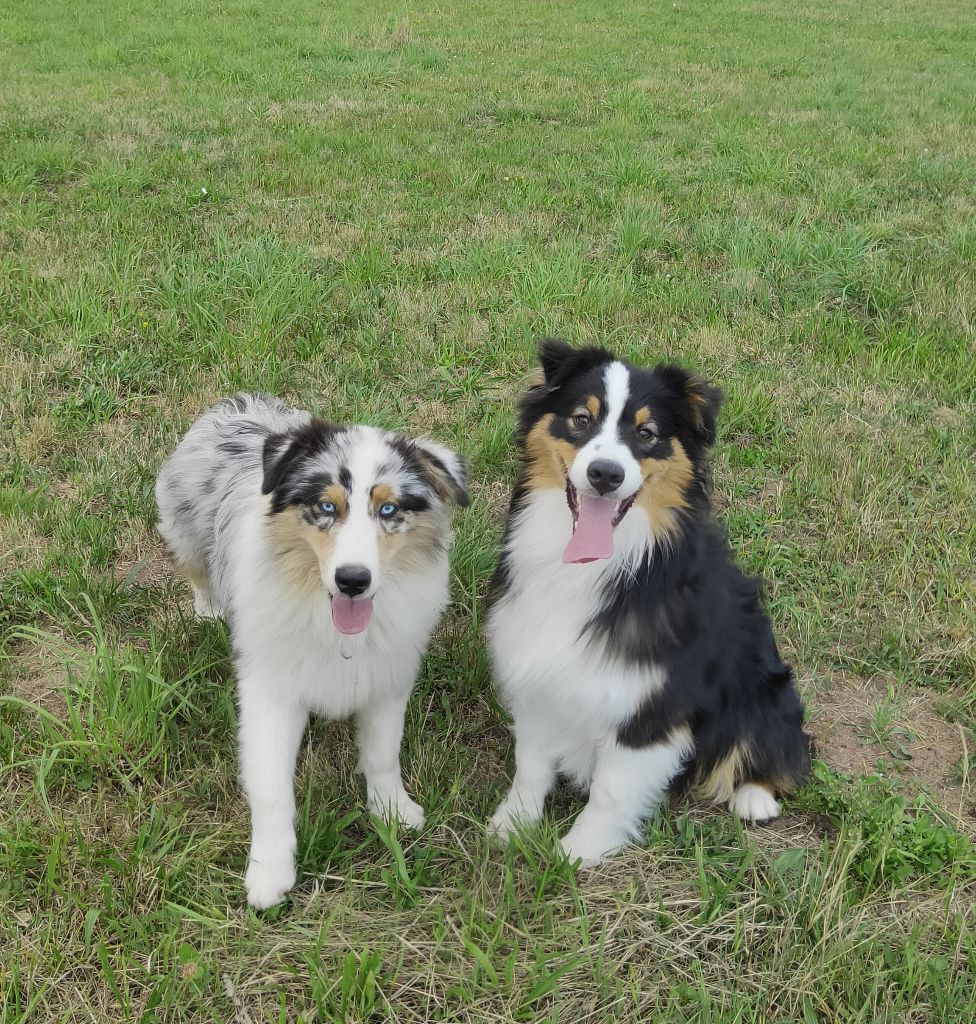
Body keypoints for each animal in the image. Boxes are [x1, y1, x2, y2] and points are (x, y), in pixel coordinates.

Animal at [155, 395, 469, 909]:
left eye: (389, 509)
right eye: (326, 506)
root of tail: (238, 401)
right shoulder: (270, 692)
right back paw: (208, 611)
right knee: (197, 574)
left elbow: (383, 753)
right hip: (184, 532)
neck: (336, 626)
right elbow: (271, 786)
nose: (353, 580)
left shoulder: (387, 679)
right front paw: (269, 873)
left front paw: (393, 810)